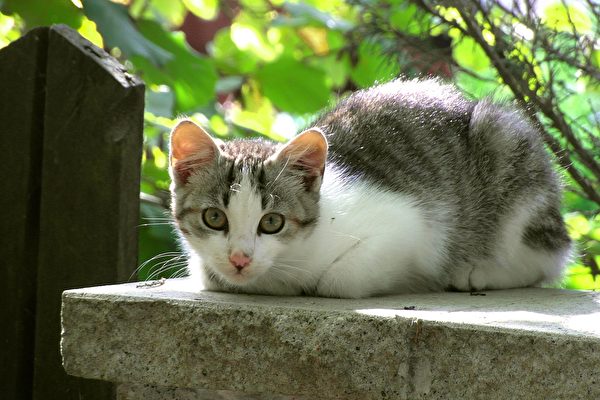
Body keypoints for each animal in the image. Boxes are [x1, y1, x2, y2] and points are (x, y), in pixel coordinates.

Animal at [169, 78, 572, 298]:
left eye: (272, 222)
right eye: (214, 218)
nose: (240, 259)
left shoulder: (410, 225)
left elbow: (337, 280)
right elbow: (211, 274)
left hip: (505, 145)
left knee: (546, 259)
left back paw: (477, 272)